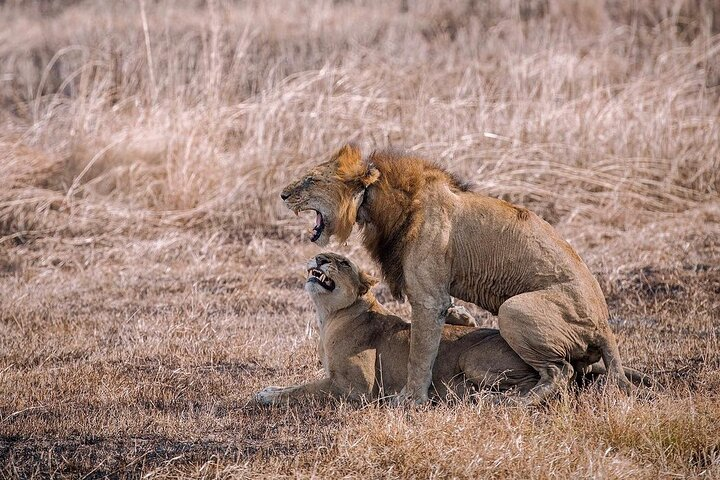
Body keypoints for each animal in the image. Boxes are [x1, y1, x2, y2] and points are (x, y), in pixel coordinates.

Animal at [255, 253, 649, 405]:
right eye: (327, 255)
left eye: (343, 262)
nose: (320, 258)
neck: (330, 316)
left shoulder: (356, 387)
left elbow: (305, 388)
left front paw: (267, 394)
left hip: (478, 357)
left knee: (551, 379)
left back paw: (488, 399)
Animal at [280, 144, 634, 405]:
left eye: (311, 180)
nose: (282, 194)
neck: (378, 203)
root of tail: (604, 324)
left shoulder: (429, 298)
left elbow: (419, 354)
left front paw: (411, 399)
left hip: (514, 309)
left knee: (560, 373)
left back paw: (509, 402)